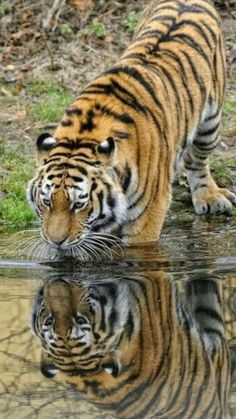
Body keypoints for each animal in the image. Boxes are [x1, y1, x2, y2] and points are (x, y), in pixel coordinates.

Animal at [26, 0, 235, 260]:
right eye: (46, 201)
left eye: (79, 204)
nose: (56, 241)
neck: (83, 135)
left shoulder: (149, 212)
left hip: (211, 124)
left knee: (197, 161)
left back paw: (210, 197)